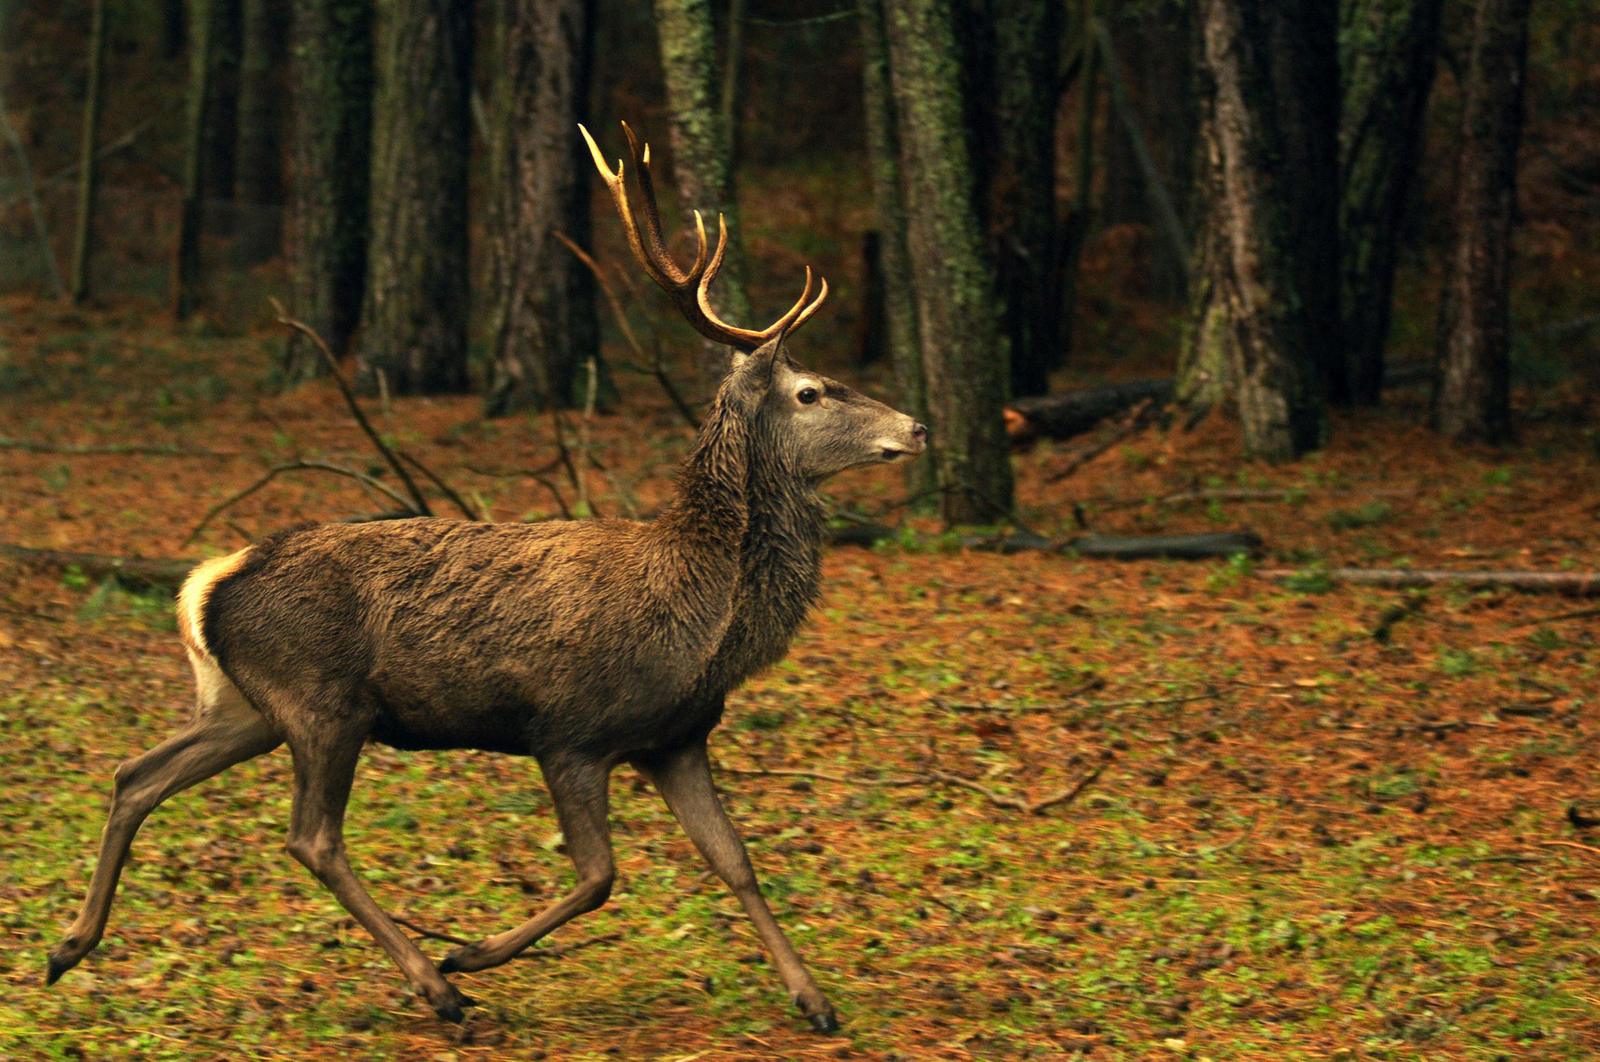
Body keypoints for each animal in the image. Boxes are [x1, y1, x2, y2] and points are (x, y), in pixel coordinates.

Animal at [46, 122, 927, 1035]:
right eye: (812, 391)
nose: (916, 426)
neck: (703, 614)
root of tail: (207, 582)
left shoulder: (676, 739)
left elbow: (737, 861)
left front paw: (815, 1000)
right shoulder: (571, 729)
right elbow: (600, 875)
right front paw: (468, 951)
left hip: (247, 706)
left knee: (137, 774)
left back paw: (68, 946)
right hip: (323, 701)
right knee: (311, 837)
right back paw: (436, 985)